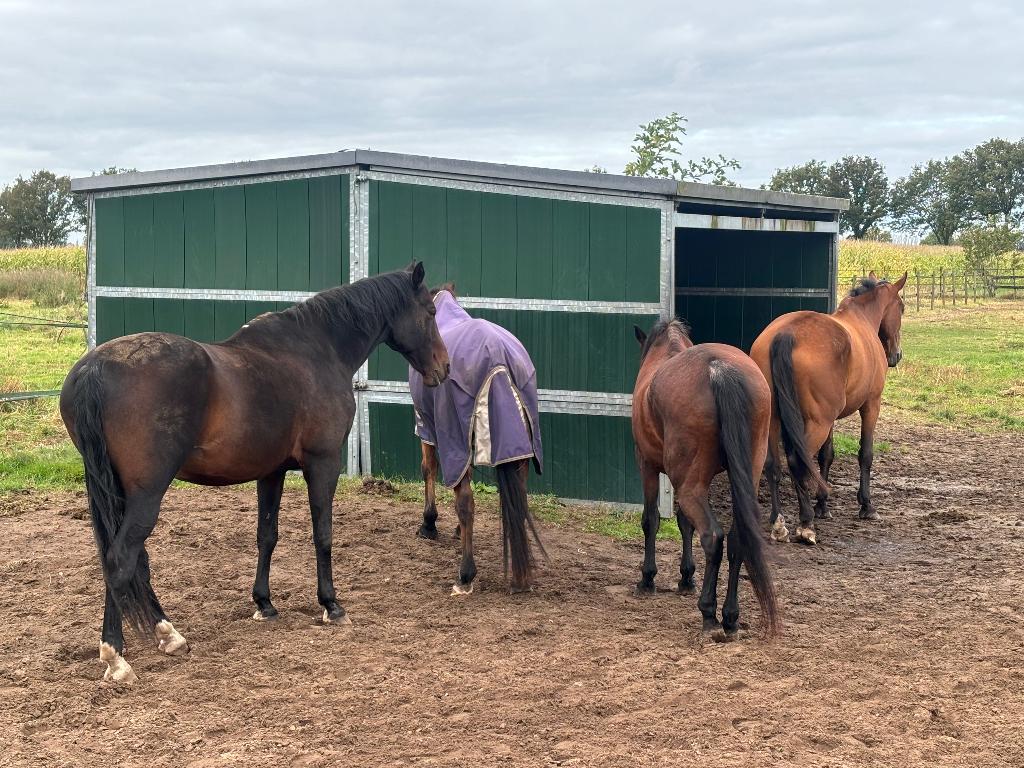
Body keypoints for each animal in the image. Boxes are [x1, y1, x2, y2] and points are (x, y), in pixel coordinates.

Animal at [59, 262, 449, 684]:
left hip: (119, 492)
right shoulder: (323, 464)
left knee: (132, 561)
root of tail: (95, 367)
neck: (317, 349)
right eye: (430, 312)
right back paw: (116, 656)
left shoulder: (271, 472)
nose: (444, 368)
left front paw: (264, 603)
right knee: (121, 559)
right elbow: (323, 534)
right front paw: (331, 605)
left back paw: (169, 634)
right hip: (146, 492)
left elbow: (267, 536)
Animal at [410, 283, 545, 596]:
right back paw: (520, 575)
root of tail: (499, 359)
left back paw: (465, 574)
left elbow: (428, 470)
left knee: (465, 502)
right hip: (519, 449)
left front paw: (429, 524)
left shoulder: (428, 426)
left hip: (454, 436)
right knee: (518, 498)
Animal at [632, 319, 779, 637]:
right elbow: (684, 523)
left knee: (712, 536)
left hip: (687, 486)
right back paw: (730, 616)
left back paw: (709, 612)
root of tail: (718, 369)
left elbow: (651, 521)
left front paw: (648, 579)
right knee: (736, 539)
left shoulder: (647, 465)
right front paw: (686, 577)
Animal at [749, 271, 907, 546]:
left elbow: (827, 455)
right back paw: (805, 524)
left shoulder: (830, 420)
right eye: (902, 308)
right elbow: (865, 454)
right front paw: (866, 505)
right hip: (817, 424)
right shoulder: (871, 405)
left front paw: (823, 505)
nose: (896, 356)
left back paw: (778, 522)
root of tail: (786, 334)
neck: (861, 320)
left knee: (773, 465)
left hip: (775, 420)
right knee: (798, 463)